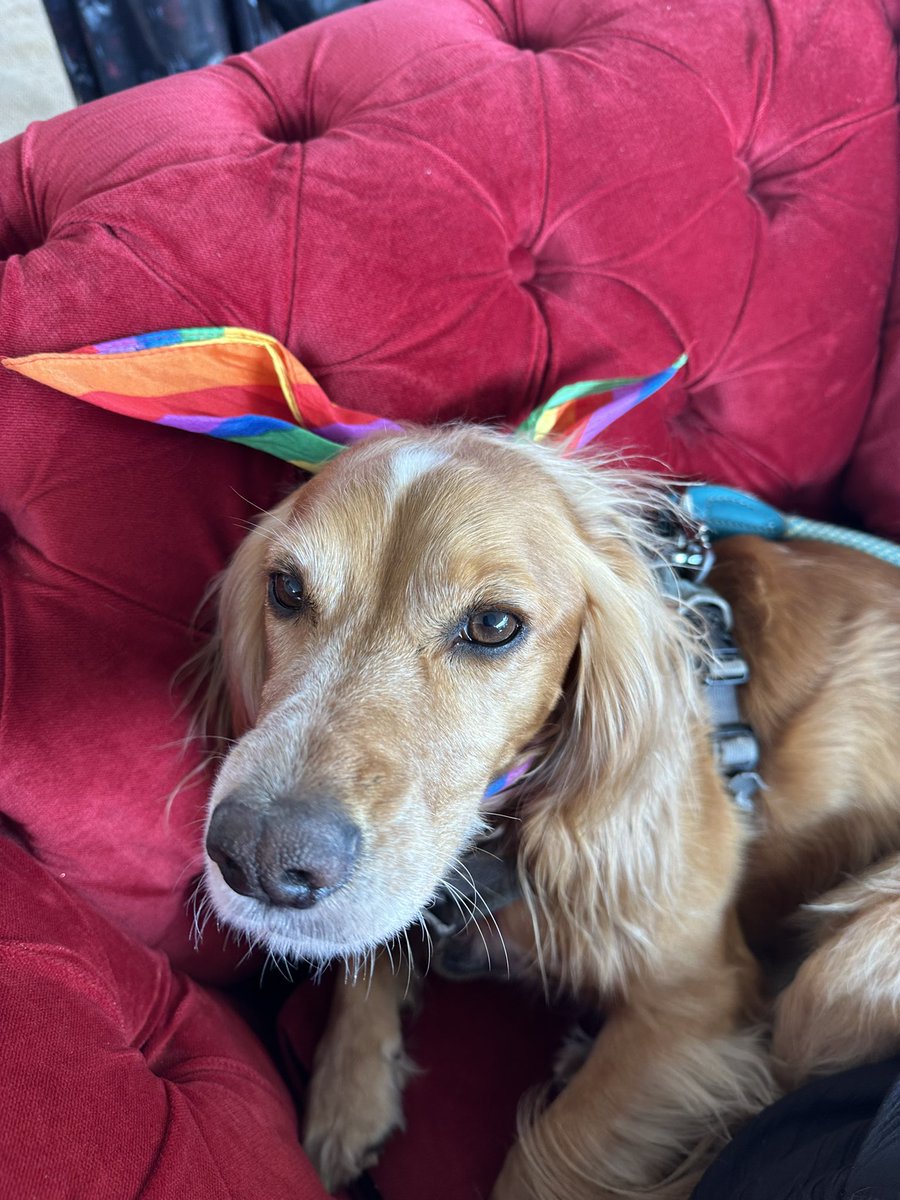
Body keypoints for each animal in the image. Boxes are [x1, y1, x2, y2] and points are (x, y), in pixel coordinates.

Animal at [196, 429, 900, 1200]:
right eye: (287, 589)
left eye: (493, 624)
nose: (257, 859)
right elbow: (370, 943)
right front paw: (347, 1098)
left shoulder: (699, 997)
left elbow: (545, 1165)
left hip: (845, 964)